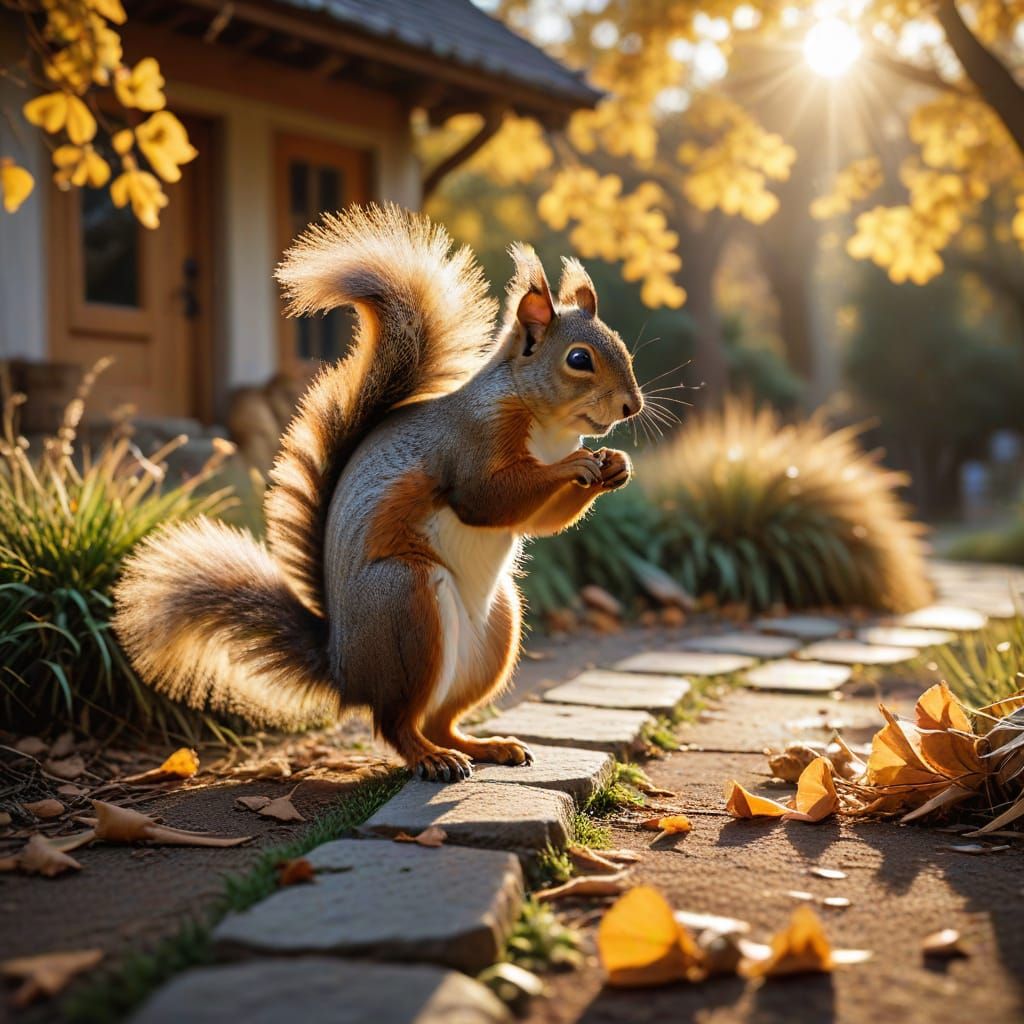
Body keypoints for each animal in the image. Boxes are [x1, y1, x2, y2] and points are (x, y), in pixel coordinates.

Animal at [113, 203, 643, 782]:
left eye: (621, 344)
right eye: (578, 359)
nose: (632, 406)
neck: (548, 427)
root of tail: (344, 668)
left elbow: (536, 522)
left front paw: (615, 466)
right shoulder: (470, 445)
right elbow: (488, 498)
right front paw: (578, 464)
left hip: (496, 632)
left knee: (439, 718)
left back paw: (486, 746)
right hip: (406, 603)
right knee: (396, 723)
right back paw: (432, 758)